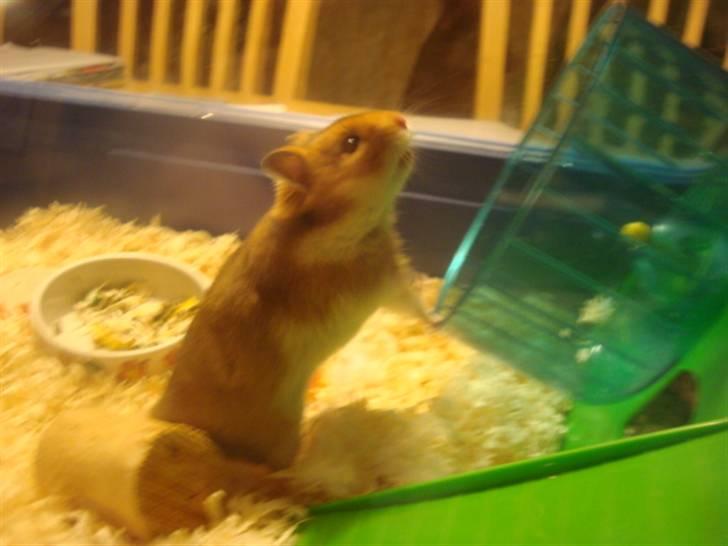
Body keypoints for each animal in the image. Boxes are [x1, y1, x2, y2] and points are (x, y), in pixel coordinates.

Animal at [152, 111, 426, 471]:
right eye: (351, 143)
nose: (402, 120)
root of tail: (161, 415)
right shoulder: (384, 283)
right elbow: (411, 303)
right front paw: (440, 321)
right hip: (280, 433)